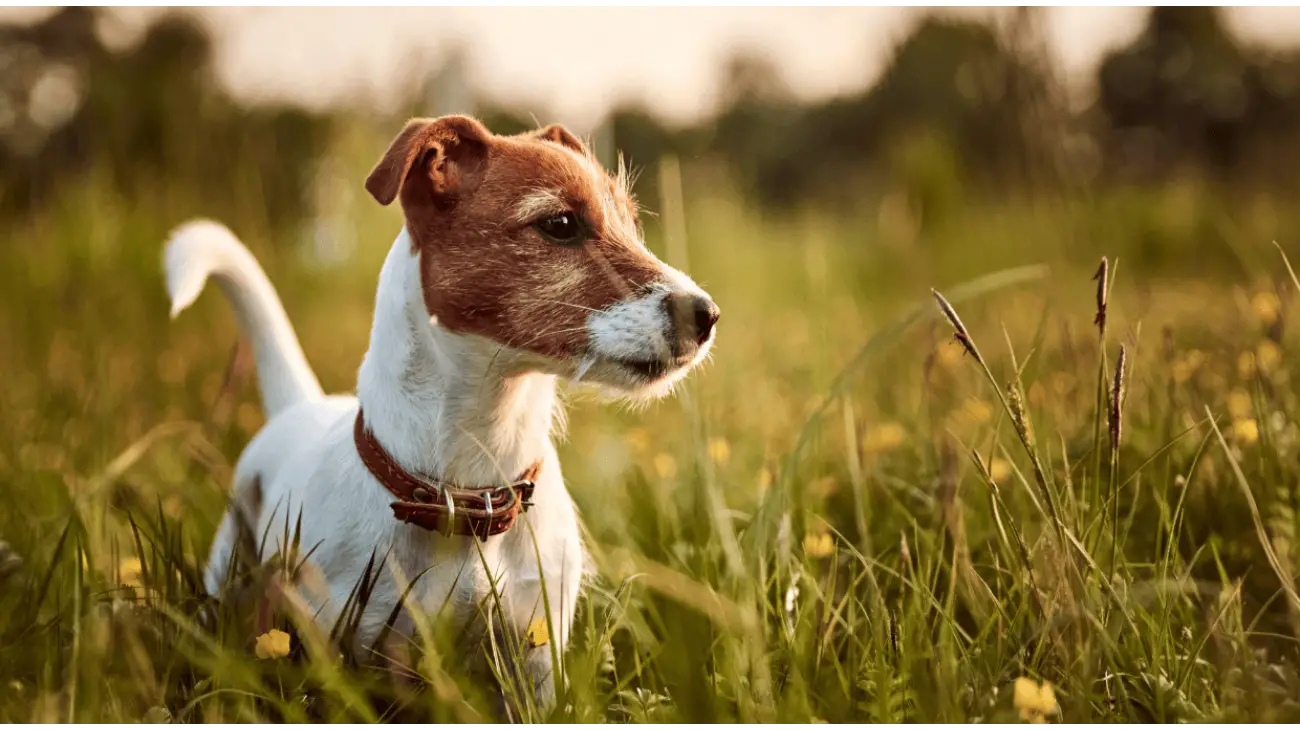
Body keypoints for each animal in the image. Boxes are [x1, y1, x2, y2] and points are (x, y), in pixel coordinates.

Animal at [162, 114, 722, 711]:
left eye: (632, 224)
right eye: (560, 224)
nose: (708, 314)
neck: (470, 493)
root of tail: (302, 403)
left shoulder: (536, 658)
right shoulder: (351, 650)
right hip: (228, 566)